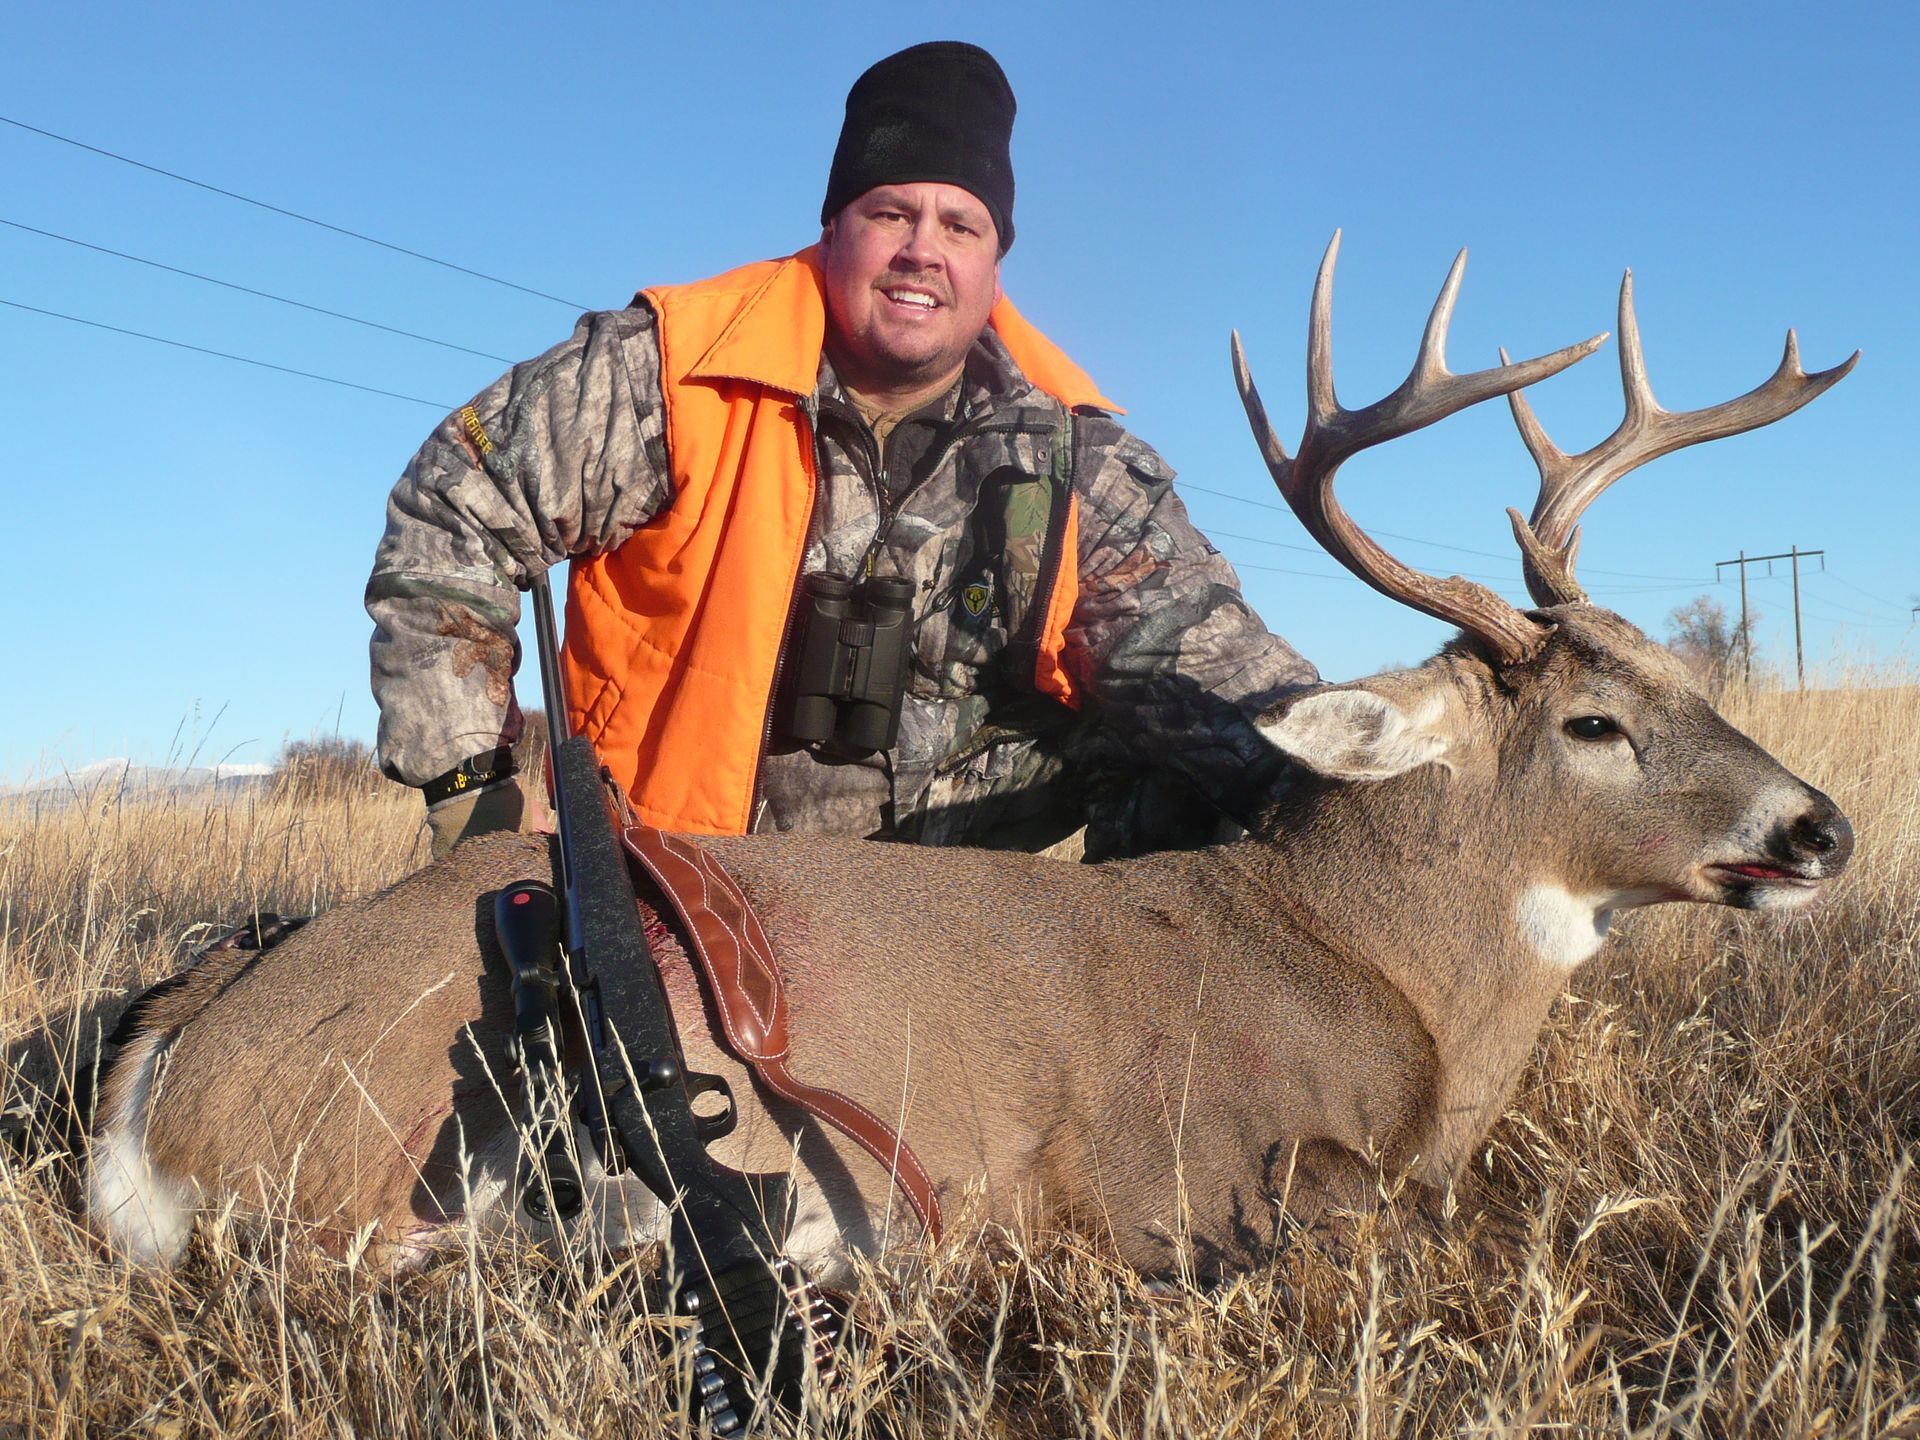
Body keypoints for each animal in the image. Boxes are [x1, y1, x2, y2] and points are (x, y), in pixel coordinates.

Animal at [85, 235, 1856, 1289]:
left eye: (1687, 669)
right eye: (1595, 722)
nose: (1821, 829)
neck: (1372, 968)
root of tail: (166, 1085)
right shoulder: (1158, 1173)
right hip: (392, 1160)